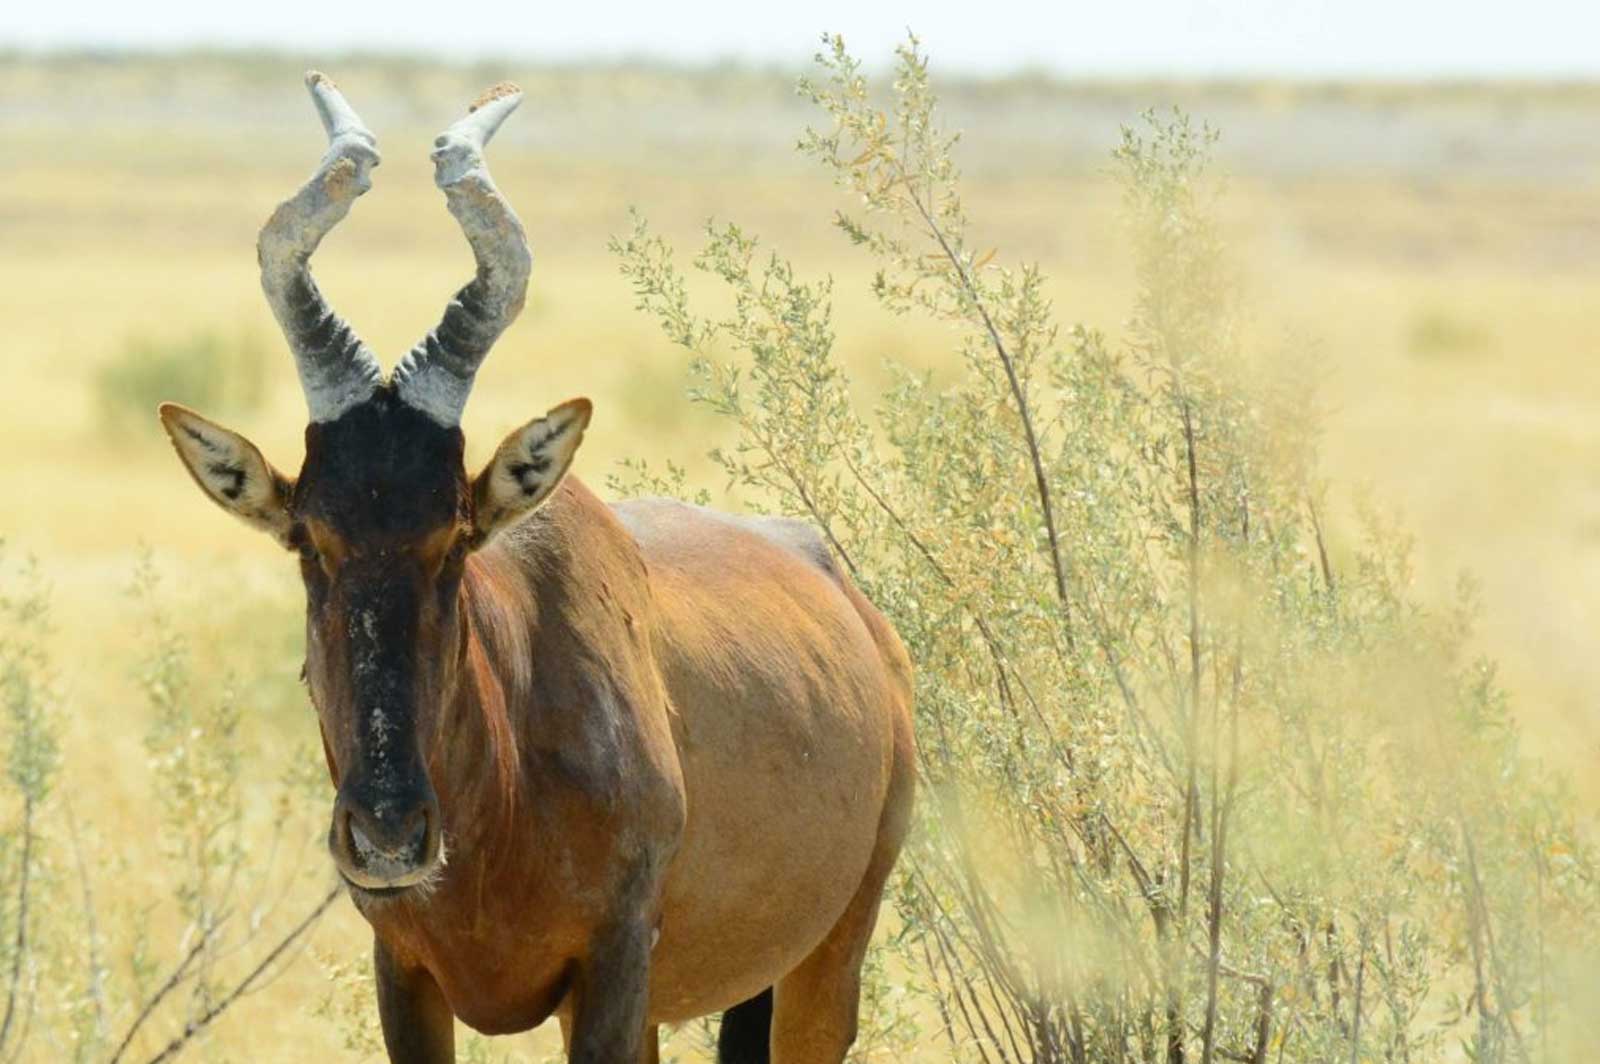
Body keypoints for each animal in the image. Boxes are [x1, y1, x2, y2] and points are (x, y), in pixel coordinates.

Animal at [157, 73, 915, 1064]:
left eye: (456, 536)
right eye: (310, 537)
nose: (389, 835)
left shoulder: (615, 968)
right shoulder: (402, 971)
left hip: (829, 956)